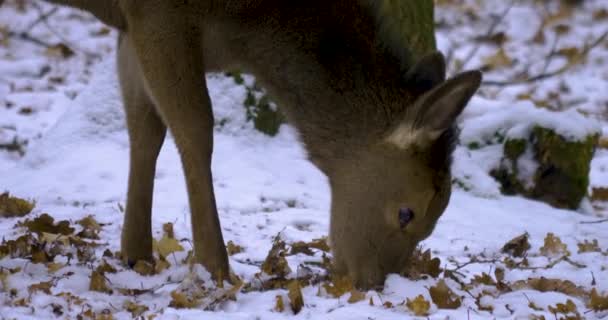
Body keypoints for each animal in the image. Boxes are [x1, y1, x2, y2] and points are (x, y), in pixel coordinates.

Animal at [2, 0, 482, 290]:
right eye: (407, 212)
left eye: (439, 215)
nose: (371, 284)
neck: (246, 29)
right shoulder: (159, 13)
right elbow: (196, 130)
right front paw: (216, 267)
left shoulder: (131, 27)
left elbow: (145, 130)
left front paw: (135, 256)